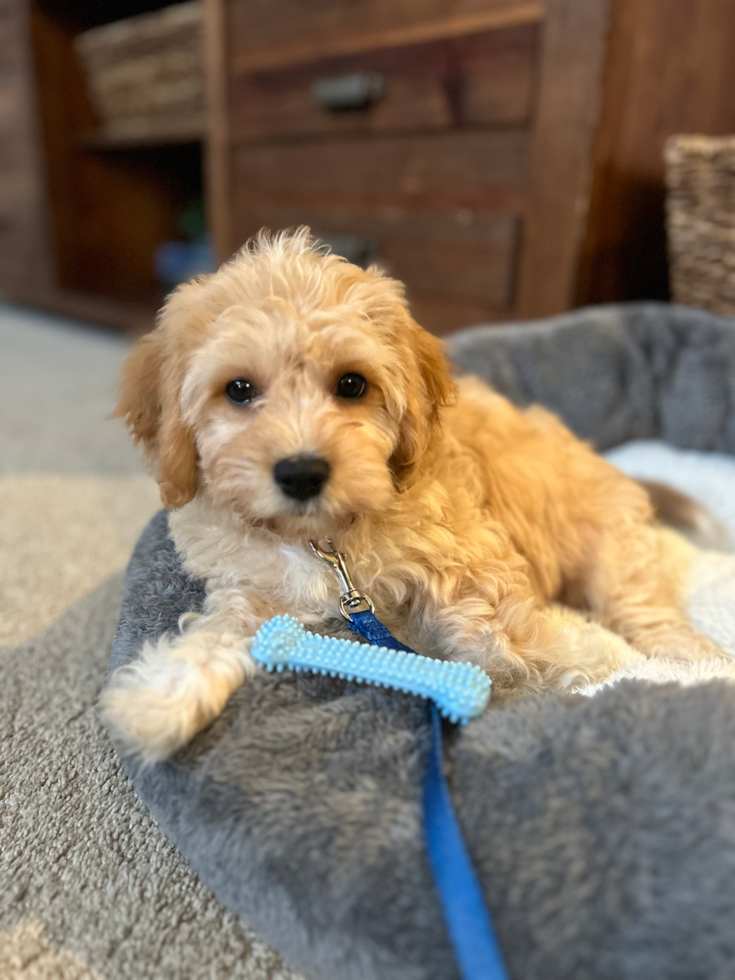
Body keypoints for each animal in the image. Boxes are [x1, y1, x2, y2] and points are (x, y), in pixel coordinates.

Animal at [102, 232, 720, 764]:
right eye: (239, 390)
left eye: (352, 384)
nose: (301, 473)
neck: (325, 540)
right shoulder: (255, 584)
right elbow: (225, 627)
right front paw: (160, 696)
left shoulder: (469, 556)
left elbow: (500, 635)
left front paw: (586, 667)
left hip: (614, 551)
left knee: (647, 611)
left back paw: (695, 663)